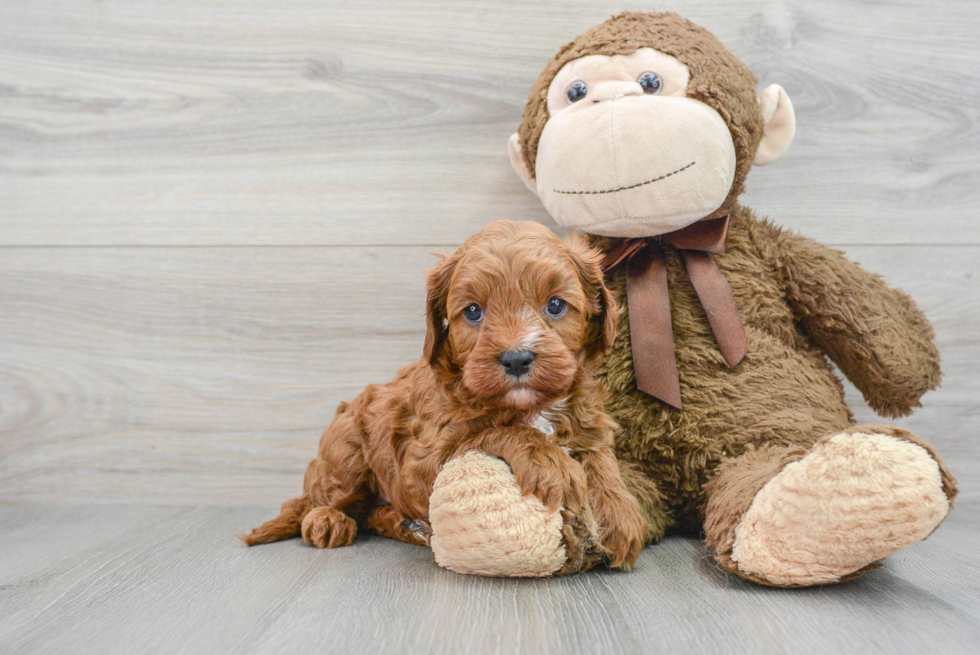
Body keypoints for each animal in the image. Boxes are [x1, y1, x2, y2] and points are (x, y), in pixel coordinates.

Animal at [241, 219, 648, 568]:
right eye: (473, 312)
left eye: (556, 305)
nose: (516, 358)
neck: (531, 407)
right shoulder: (423, 459)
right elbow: (496, 431)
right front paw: (552, 464)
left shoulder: (588, 420)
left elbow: (600, 459)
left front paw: (621, 515)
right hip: (346, 453)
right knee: (318, 499)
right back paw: (327, 520)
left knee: (370, 513)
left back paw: (409, 526)